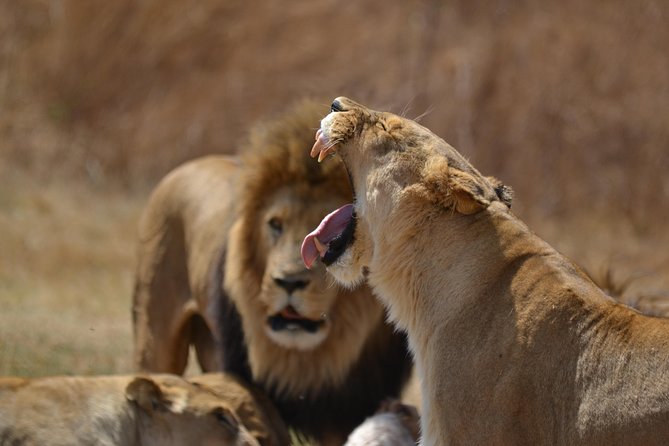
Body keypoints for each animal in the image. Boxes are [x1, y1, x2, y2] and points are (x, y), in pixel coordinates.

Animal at [132, 100, 413, 444]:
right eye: (275, 224)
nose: (288, 282)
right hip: (154, 335)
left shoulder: (353, 403)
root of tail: (186, 166)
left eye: (335, 231)